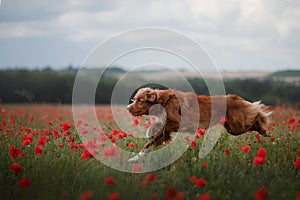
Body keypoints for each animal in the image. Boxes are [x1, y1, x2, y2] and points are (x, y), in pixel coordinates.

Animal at [125, 87, 270, 161]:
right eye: (134, 99)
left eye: (140, 100)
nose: (127, 108)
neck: (162, 102)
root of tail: (237, 98)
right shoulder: (167, 130)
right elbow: (150, 143)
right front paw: (134, 159)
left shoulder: (179, 122)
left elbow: (157, 131)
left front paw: (149, 132)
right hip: (231, 127)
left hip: (237, 126)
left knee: (257, 115)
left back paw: (266, 131)